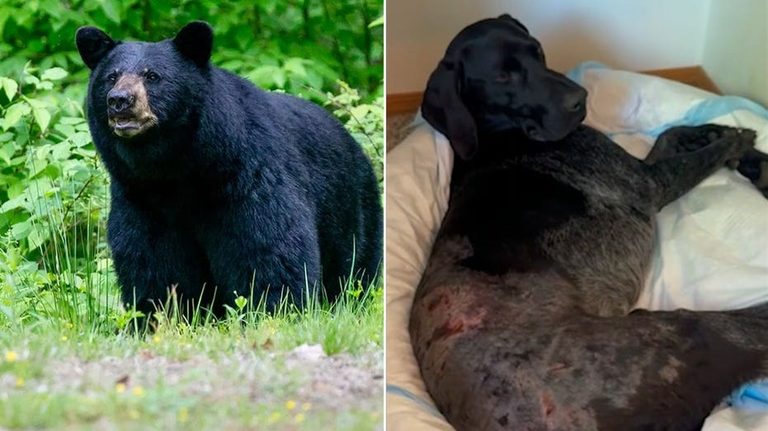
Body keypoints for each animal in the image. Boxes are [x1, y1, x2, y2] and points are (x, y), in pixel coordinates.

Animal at [74, 21, 382, 321]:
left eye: (152, 76)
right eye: (111, 77)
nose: (119, 100)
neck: (179, 171)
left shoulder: (248, 176)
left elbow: (266, 246)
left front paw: (274, 312)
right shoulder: (141, 197)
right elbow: (151, 258)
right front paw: (159, 317)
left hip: (352, 207)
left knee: (355, 266)